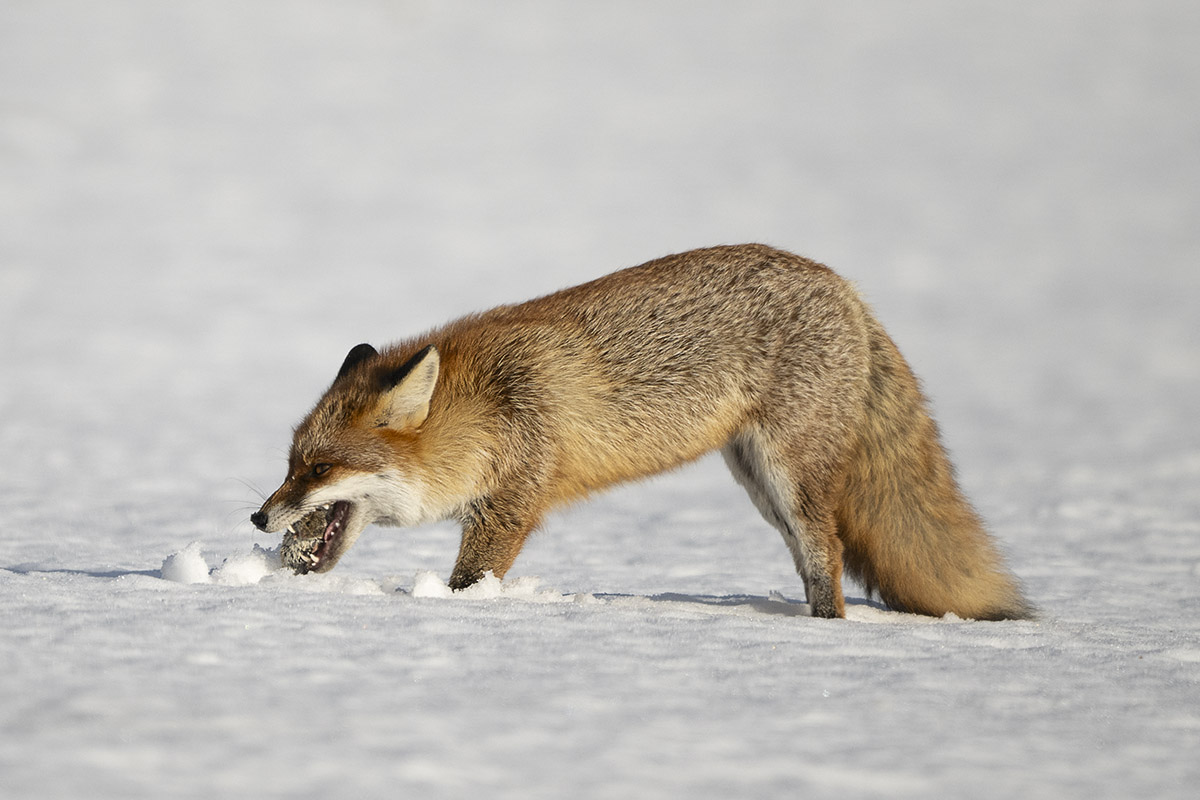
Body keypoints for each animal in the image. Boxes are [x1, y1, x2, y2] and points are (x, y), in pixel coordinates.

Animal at [250, 244, 1032, 618]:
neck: (488, 405)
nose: (258, 516)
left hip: (792, 477)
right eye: (291, 463)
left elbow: (471, 581)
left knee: (828, 554)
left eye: (320, 470)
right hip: (759, 482)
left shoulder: (512, 503)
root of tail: (844, 287)